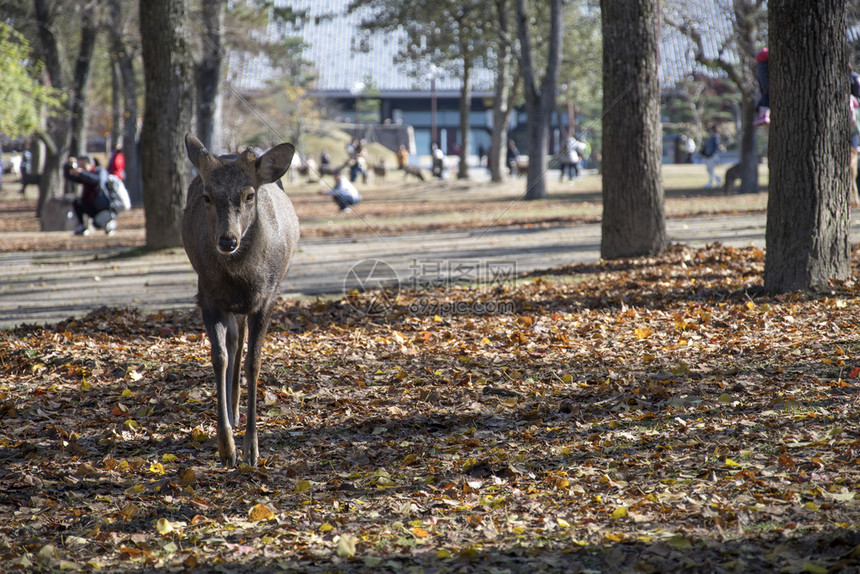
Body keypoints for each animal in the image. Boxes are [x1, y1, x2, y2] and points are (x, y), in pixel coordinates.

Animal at [181, 135, 298, 468]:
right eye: (207, 196)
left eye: (249, 195)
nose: (227, 240)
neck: (242, 279)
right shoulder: (207, 296)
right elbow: (219, 357)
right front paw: (226, 446)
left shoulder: (267, 298)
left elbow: (254, 364)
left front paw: (252, 449)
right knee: (234, 341)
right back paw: (232, 412)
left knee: (242, 341)